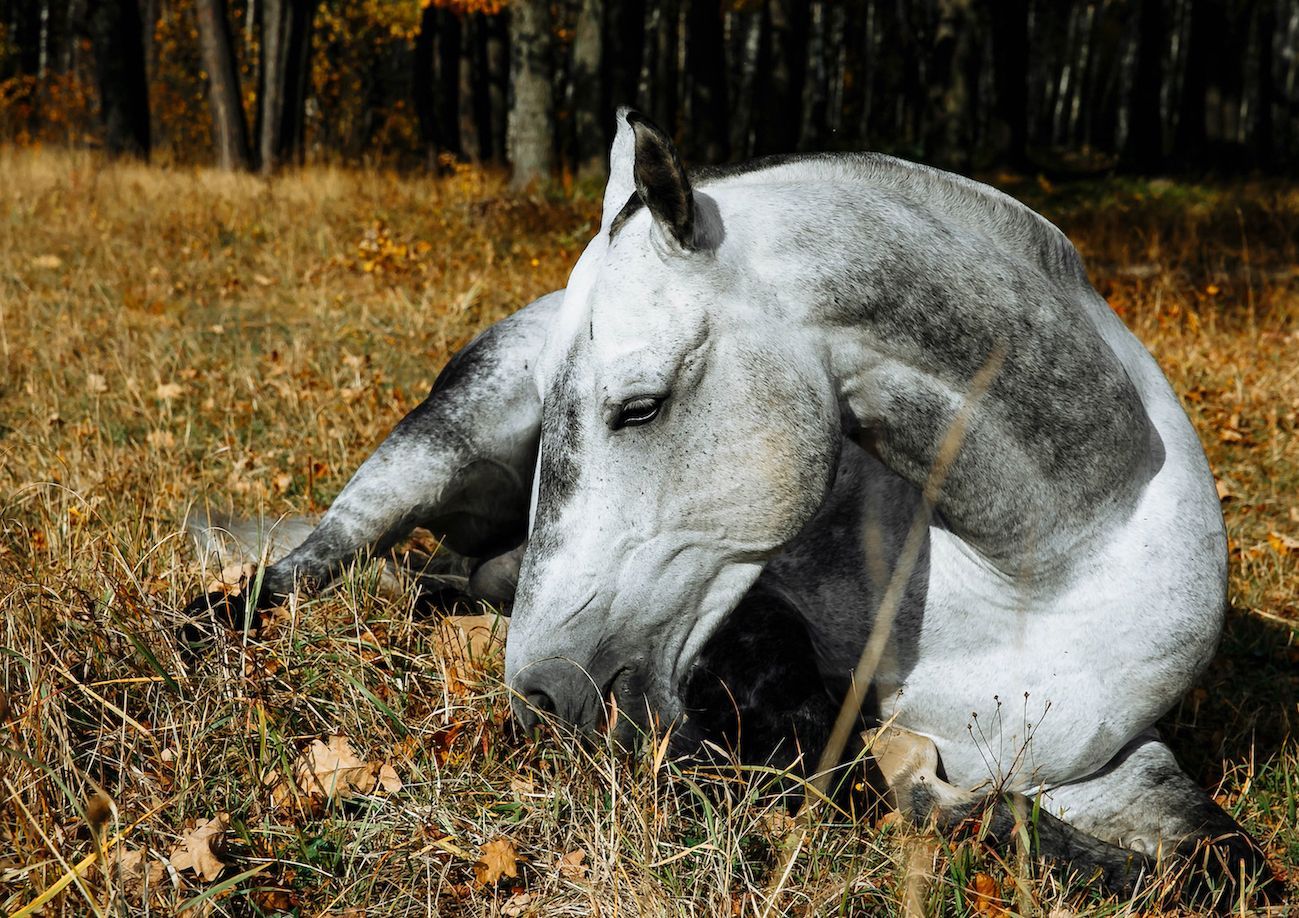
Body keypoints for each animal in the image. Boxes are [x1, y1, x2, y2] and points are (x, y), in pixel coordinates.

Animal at [182, 110, 1277, 903]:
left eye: (639, 405)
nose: (539, 695)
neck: (1042, 568)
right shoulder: (767, 653)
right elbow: (872, 773)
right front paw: (910, 772)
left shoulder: (1111, 758)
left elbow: (1215, 866)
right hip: (430, 453)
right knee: (304, 563)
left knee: (444, 574)